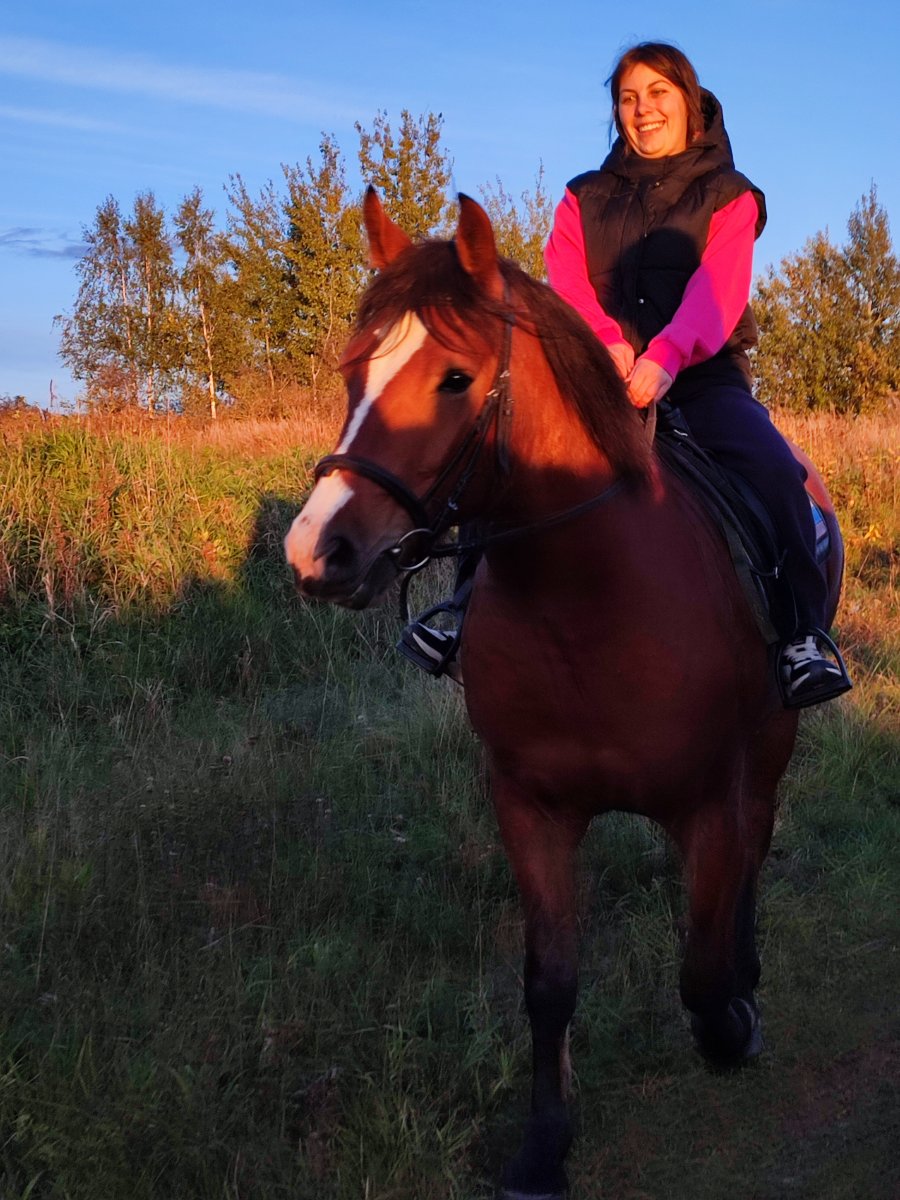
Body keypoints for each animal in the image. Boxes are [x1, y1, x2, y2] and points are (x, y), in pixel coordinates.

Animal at [284, 189, 844, 1199]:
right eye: (355, 369)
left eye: (455, 379)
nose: (317, 550)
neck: (587, 600)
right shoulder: (529, 806)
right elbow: (549, 981)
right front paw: (545, 1145)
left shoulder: (707, 799)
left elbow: (701, 972)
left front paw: (733, 1024)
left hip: (773, 744)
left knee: (756, 846)